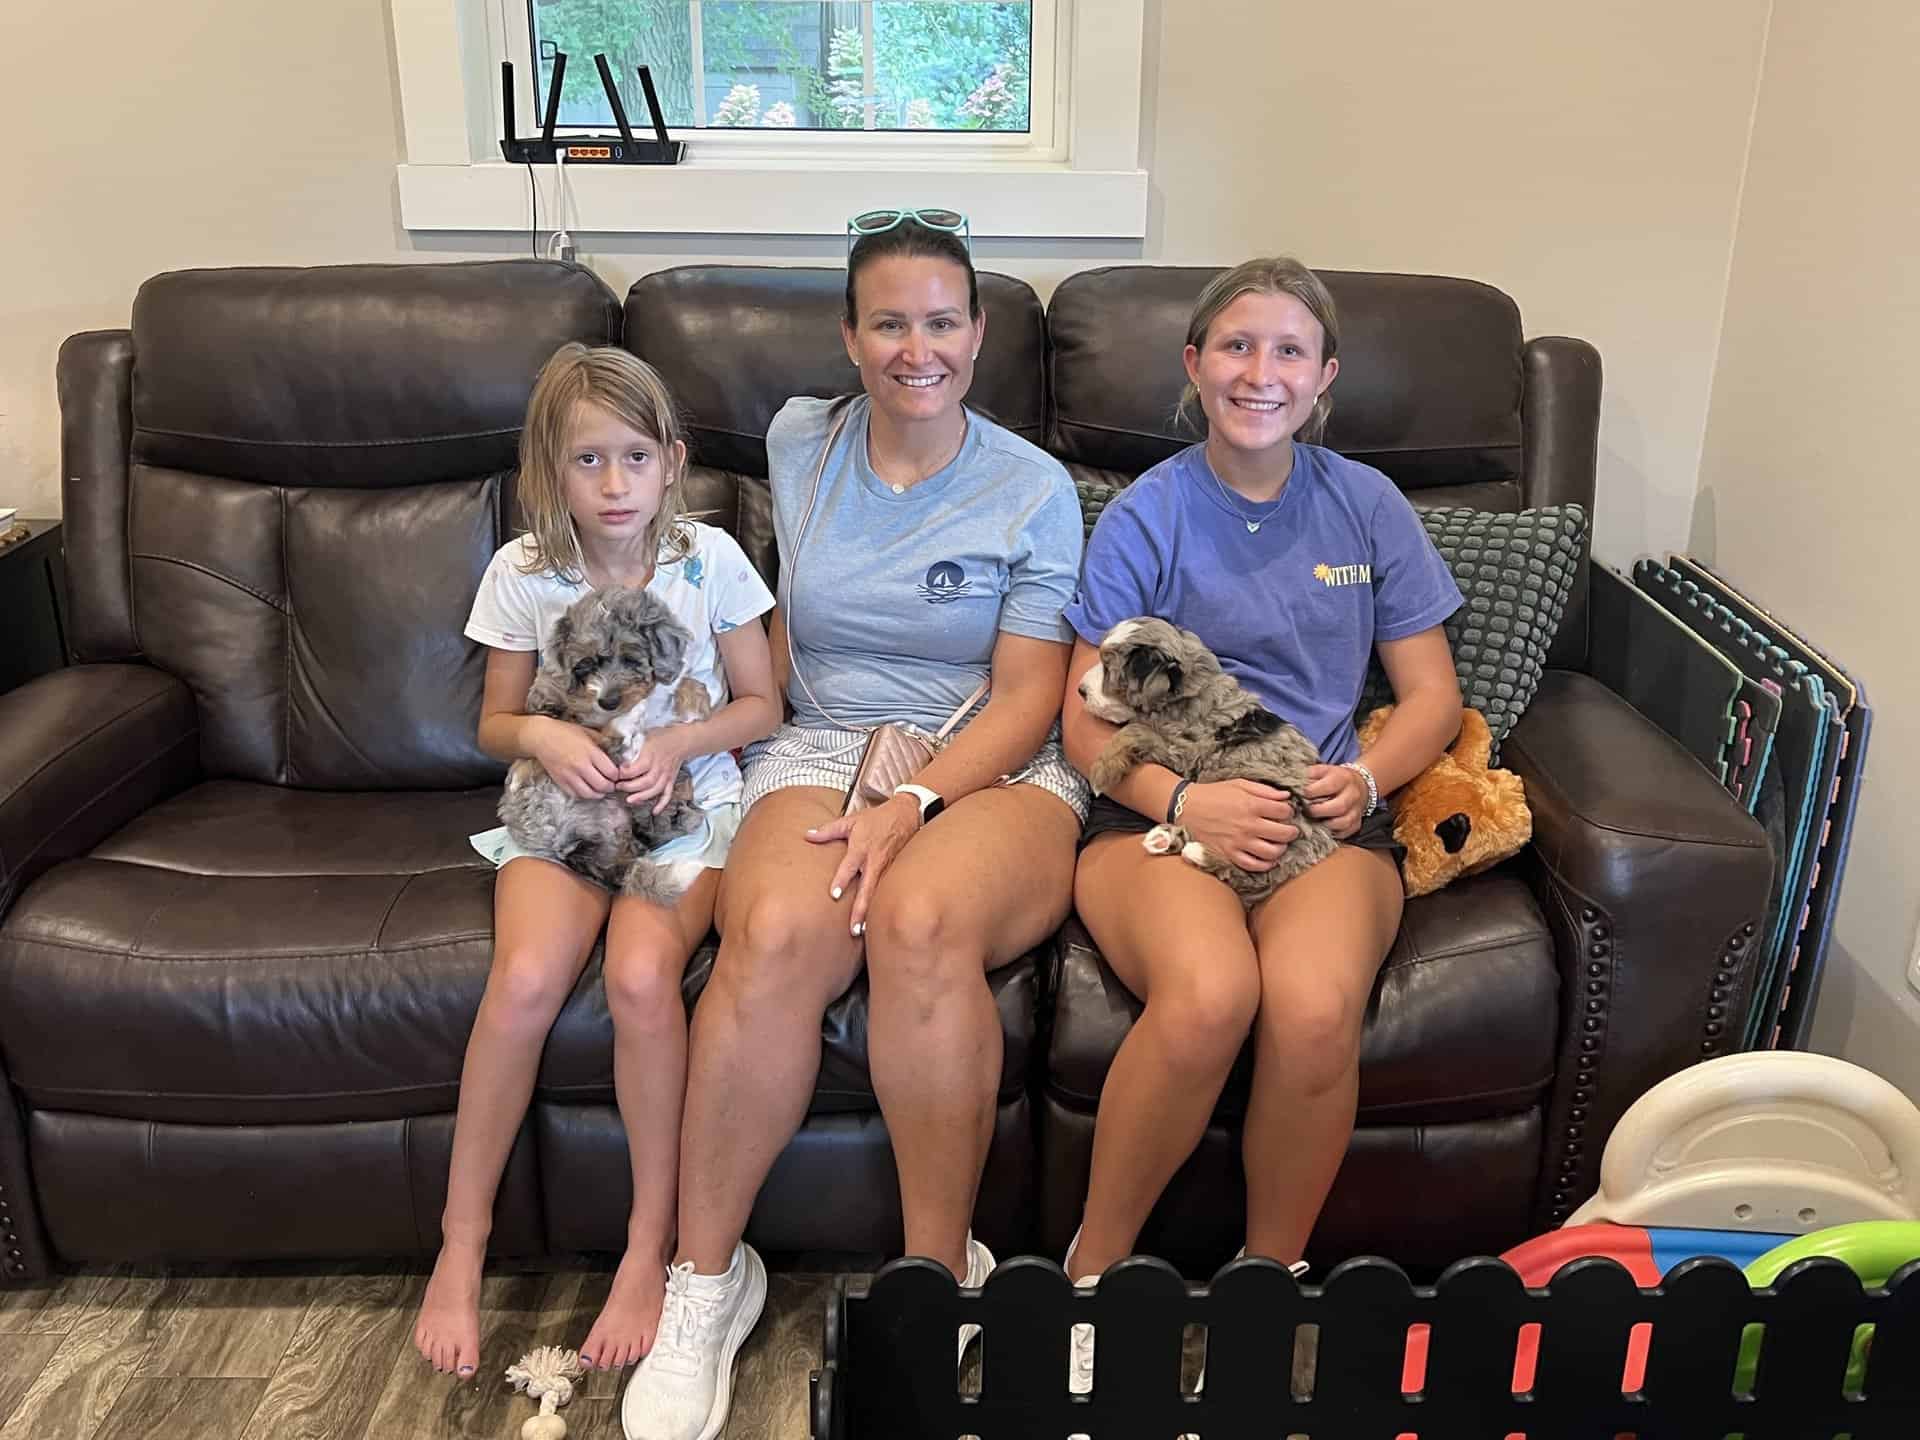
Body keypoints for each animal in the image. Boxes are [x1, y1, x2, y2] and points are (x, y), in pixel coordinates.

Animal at [499, 587, 718, 902]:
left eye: (630, 658)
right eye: (585, 663)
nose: (608, 701)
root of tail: (562, 845)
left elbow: (687, 687)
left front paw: (694, 702)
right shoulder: (567, 710)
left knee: (658, 823)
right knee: (616, 750)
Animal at [1082, 618, 1336, 906]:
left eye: (1107, 668)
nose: (1080, 691)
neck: (1189, 691)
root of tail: (1320, 845)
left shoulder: (1183, 748)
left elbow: (1133, 730)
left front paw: (1101, 772)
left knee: (1254, 877)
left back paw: (1198, 852)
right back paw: (1165, 839)